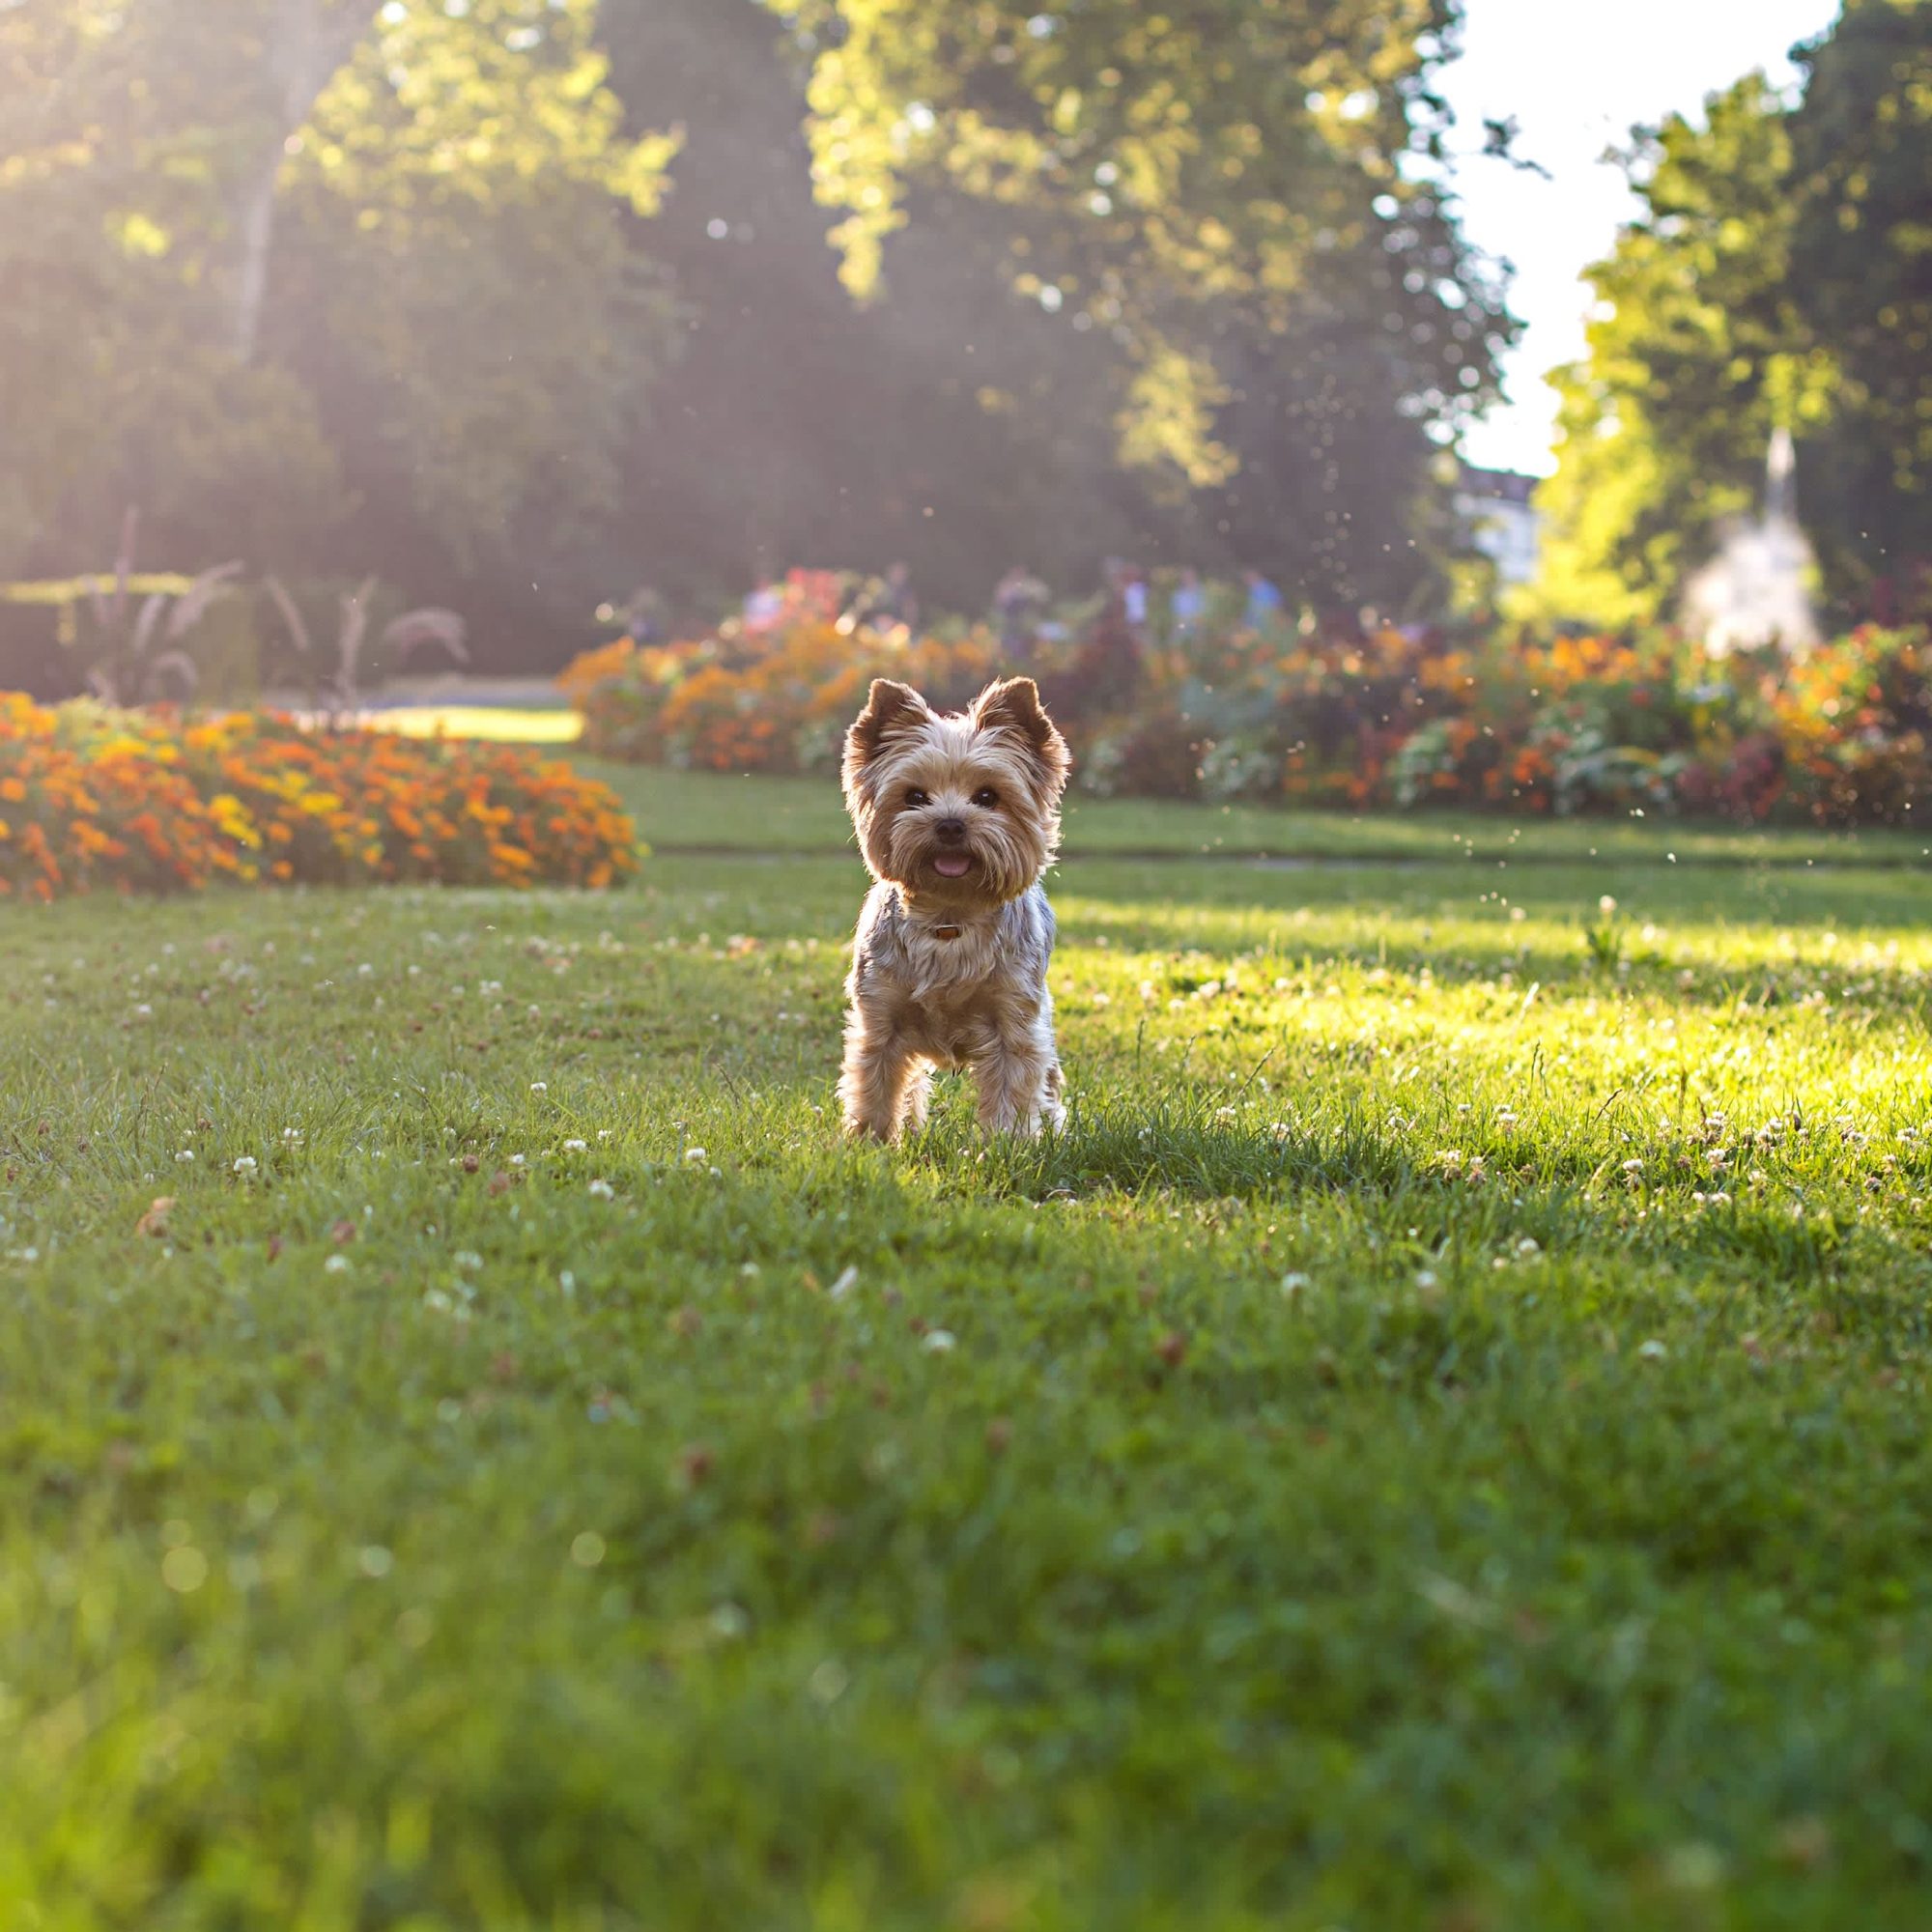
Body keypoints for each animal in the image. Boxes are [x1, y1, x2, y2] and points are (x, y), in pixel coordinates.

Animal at [835, 676, 1074, 1136]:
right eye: (914, 796)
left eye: (987, 796)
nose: (949, 823)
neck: (949, 916)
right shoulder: (880, 1015)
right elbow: (876, 1086)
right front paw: (869, 1142)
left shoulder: (1014, 1017)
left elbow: (1013, 1089)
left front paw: (1008, 1144)